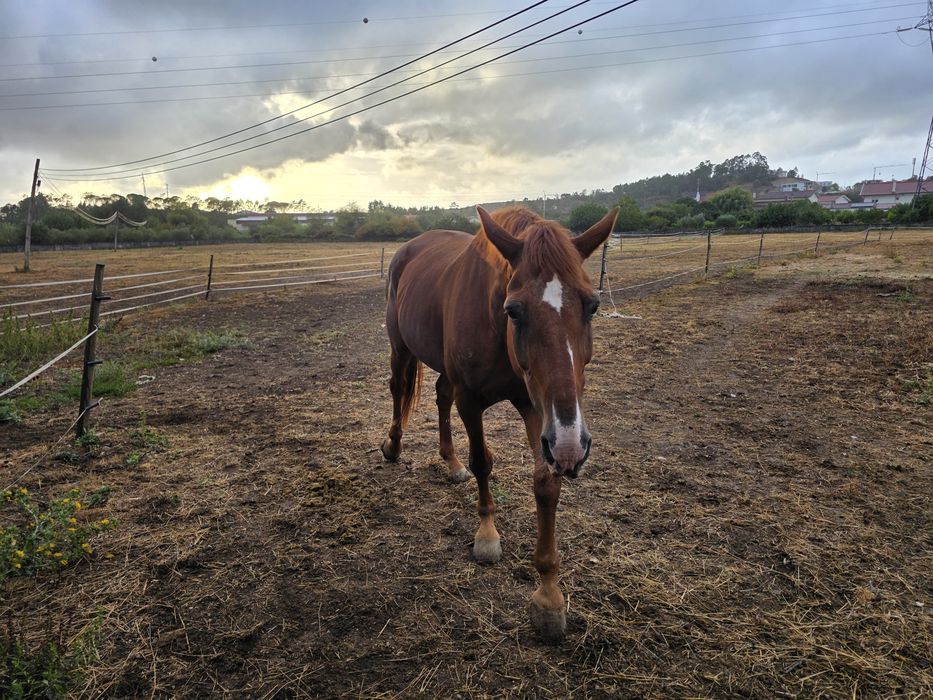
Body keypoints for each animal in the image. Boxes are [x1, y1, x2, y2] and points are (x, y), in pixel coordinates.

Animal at [380, 204, 617, 641]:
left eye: (593, 305)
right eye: (514, 310)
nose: (572, 446)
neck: (494, 321)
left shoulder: (538, 409)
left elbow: (545, 484)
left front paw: (548, 595)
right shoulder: (471, 402)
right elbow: (483, 463)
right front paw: (487, 536)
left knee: (440, 394)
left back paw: (450, 462)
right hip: (400, 345)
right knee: (398, 388)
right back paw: (393, 445)